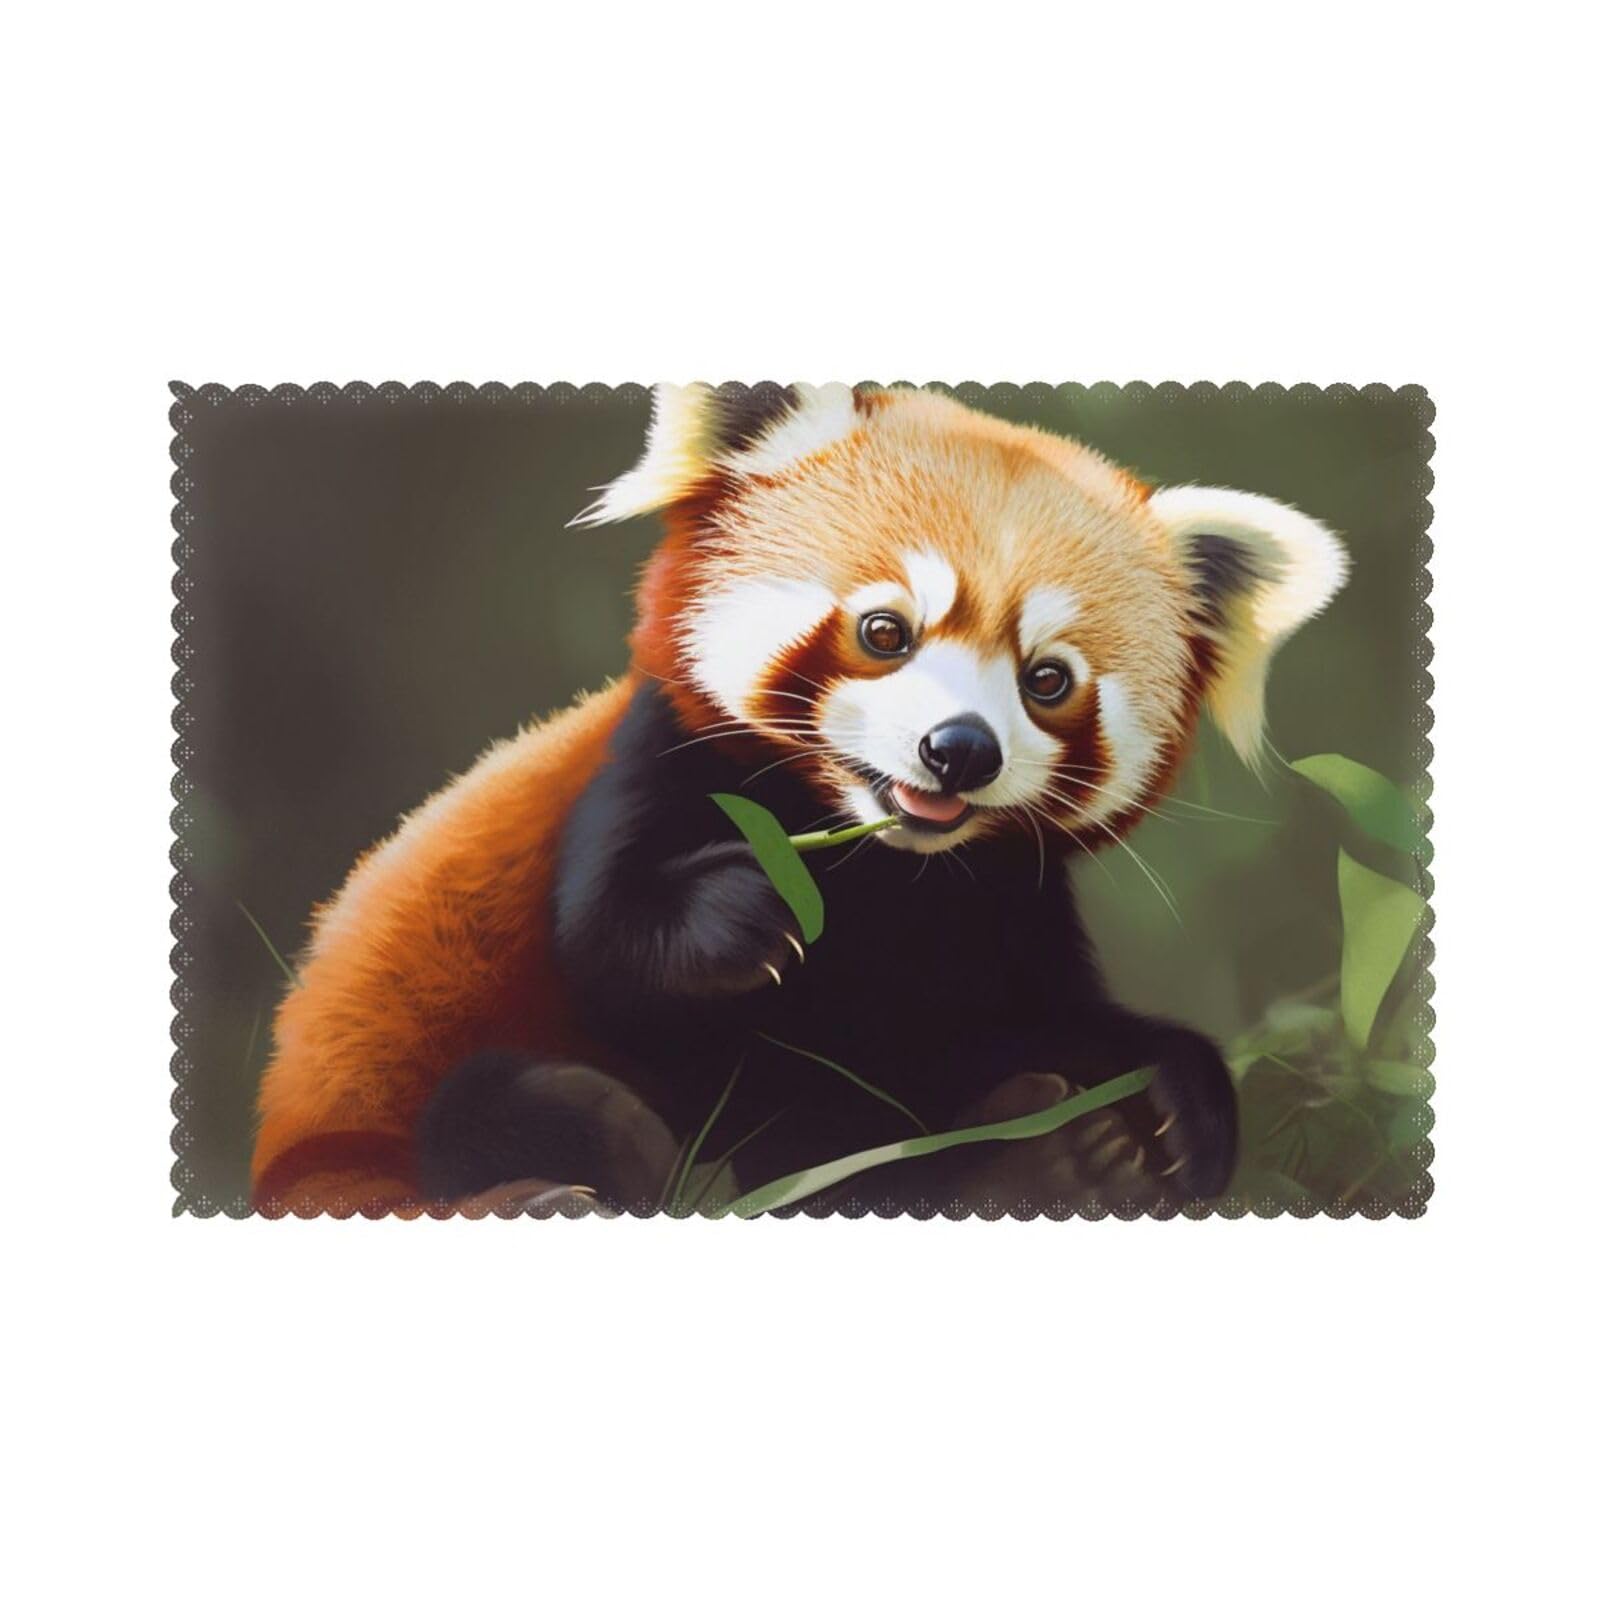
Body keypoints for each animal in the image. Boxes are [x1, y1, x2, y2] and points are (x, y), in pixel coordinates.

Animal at [250, 383, 1347, 1217]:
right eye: (883, 631)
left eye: (1048, 679)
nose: (958, 751)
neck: (879, 869)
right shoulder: (652, 767)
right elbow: (610, 947)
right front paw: (740, 917)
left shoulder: (999, 901)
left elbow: (1026, 1022)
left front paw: (1175, 1087)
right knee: (516, 1105)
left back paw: (1058, 1162)